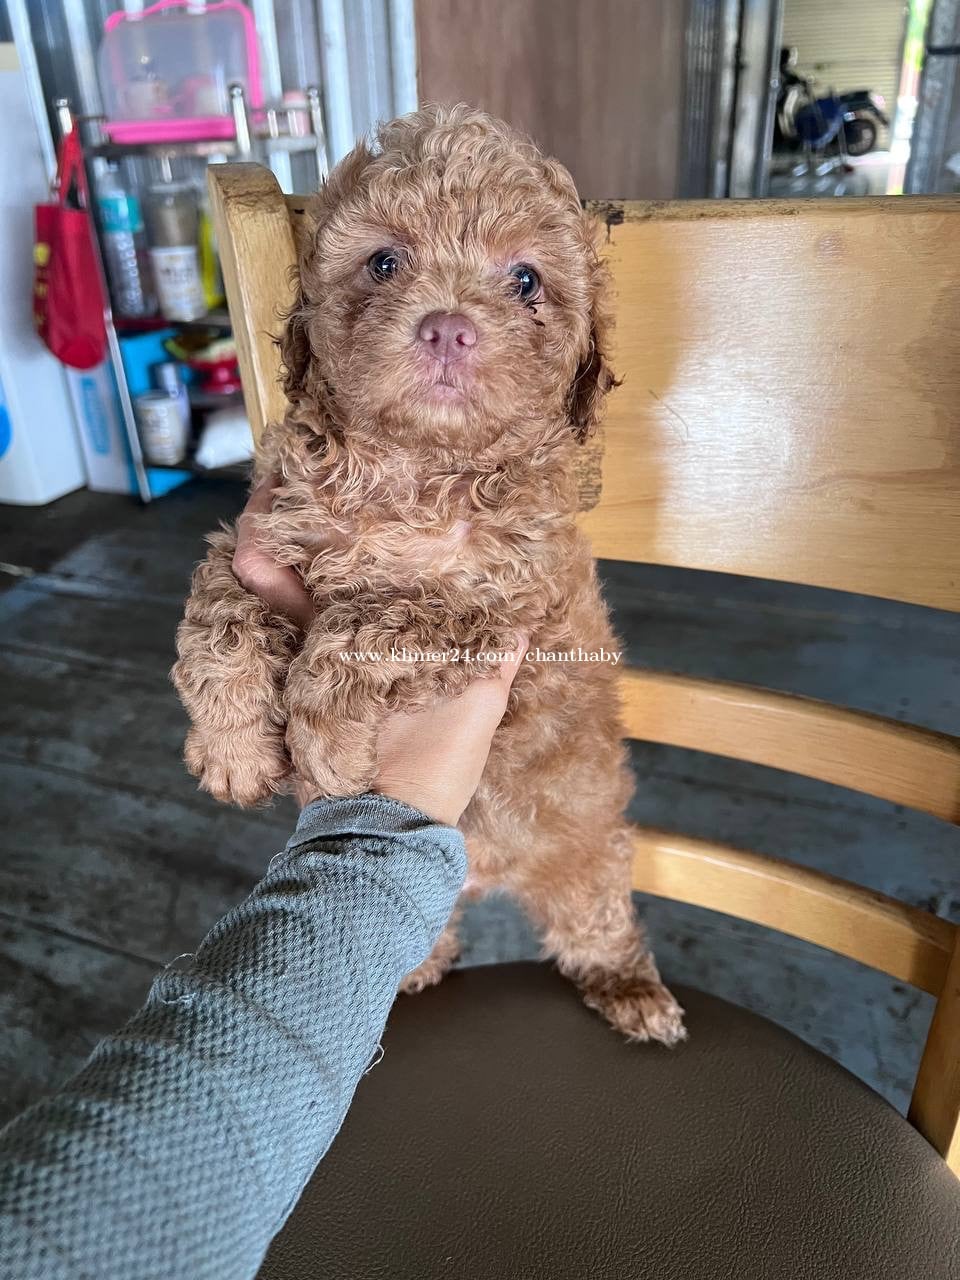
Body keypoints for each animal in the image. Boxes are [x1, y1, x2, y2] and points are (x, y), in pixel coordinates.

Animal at [172, 105, 685, 1045]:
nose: (448, 325)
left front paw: (327, 744)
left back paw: (632, 989)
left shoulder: (502, 615)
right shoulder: (260, 531)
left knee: (597, 919)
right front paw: (233, 748)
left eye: (525, 279)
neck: (414, 470)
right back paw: (412, 968)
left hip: (587, 859)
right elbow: (219, 607)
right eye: (383, 262)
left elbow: (376, 620)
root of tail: (487, 874)